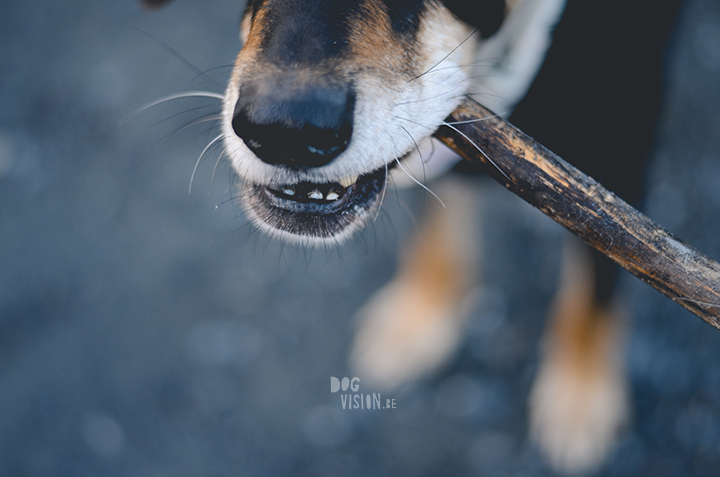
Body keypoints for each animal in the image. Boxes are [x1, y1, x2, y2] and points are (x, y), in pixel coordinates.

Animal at [142, 0, 680, 470]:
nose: (286, 131)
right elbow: (438, 226)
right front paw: (422, 315)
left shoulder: (619, 158)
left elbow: (597, 284)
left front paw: (580, 395)